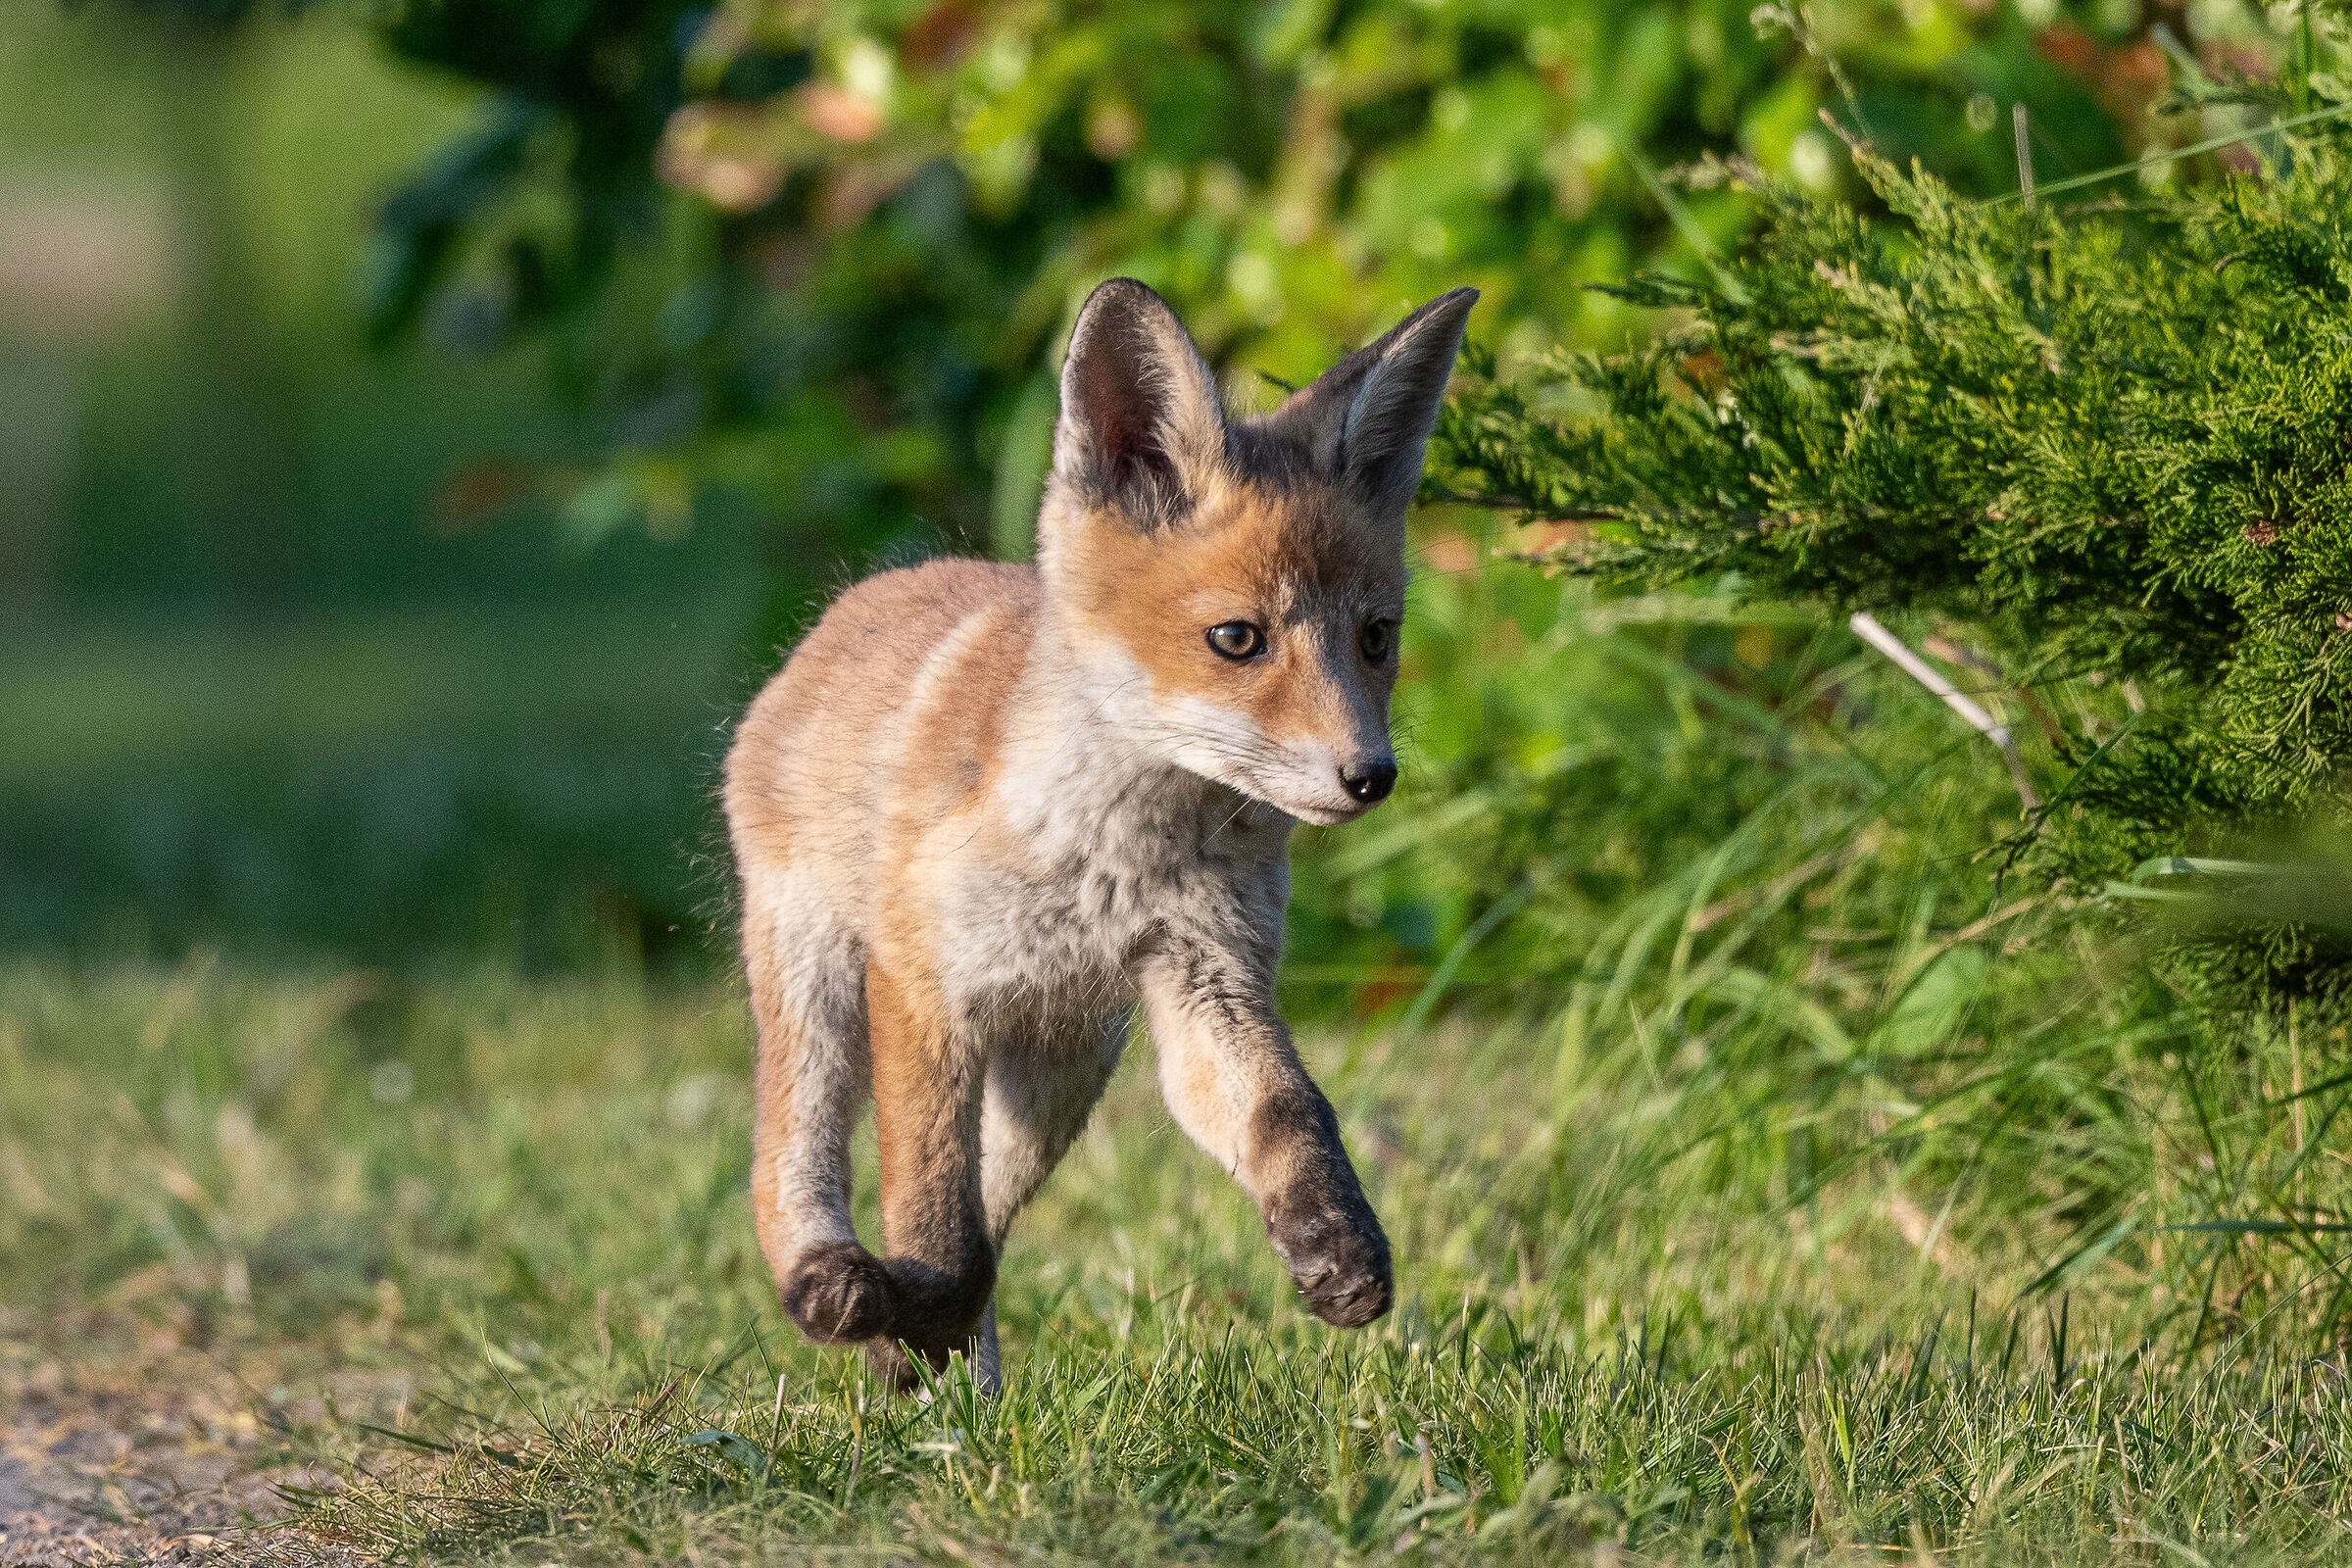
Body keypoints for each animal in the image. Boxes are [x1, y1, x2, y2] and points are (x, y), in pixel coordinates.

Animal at [723, 276, 1476, 1389]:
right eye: (1237, 639)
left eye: (1376, 638)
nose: (1370, 777)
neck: (1115, 861)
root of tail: (866, 595)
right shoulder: (922, 986)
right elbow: (932, 1213)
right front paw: (910, 1314)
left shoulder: (1207, 976)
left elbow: (1289, 1112)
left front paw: (1338, 1246)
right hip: (815, 975)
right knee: (791, 1157)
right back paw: (836, 1288)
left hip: (1059, 1071)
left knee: (994, 1217)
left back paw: (954, 1383)